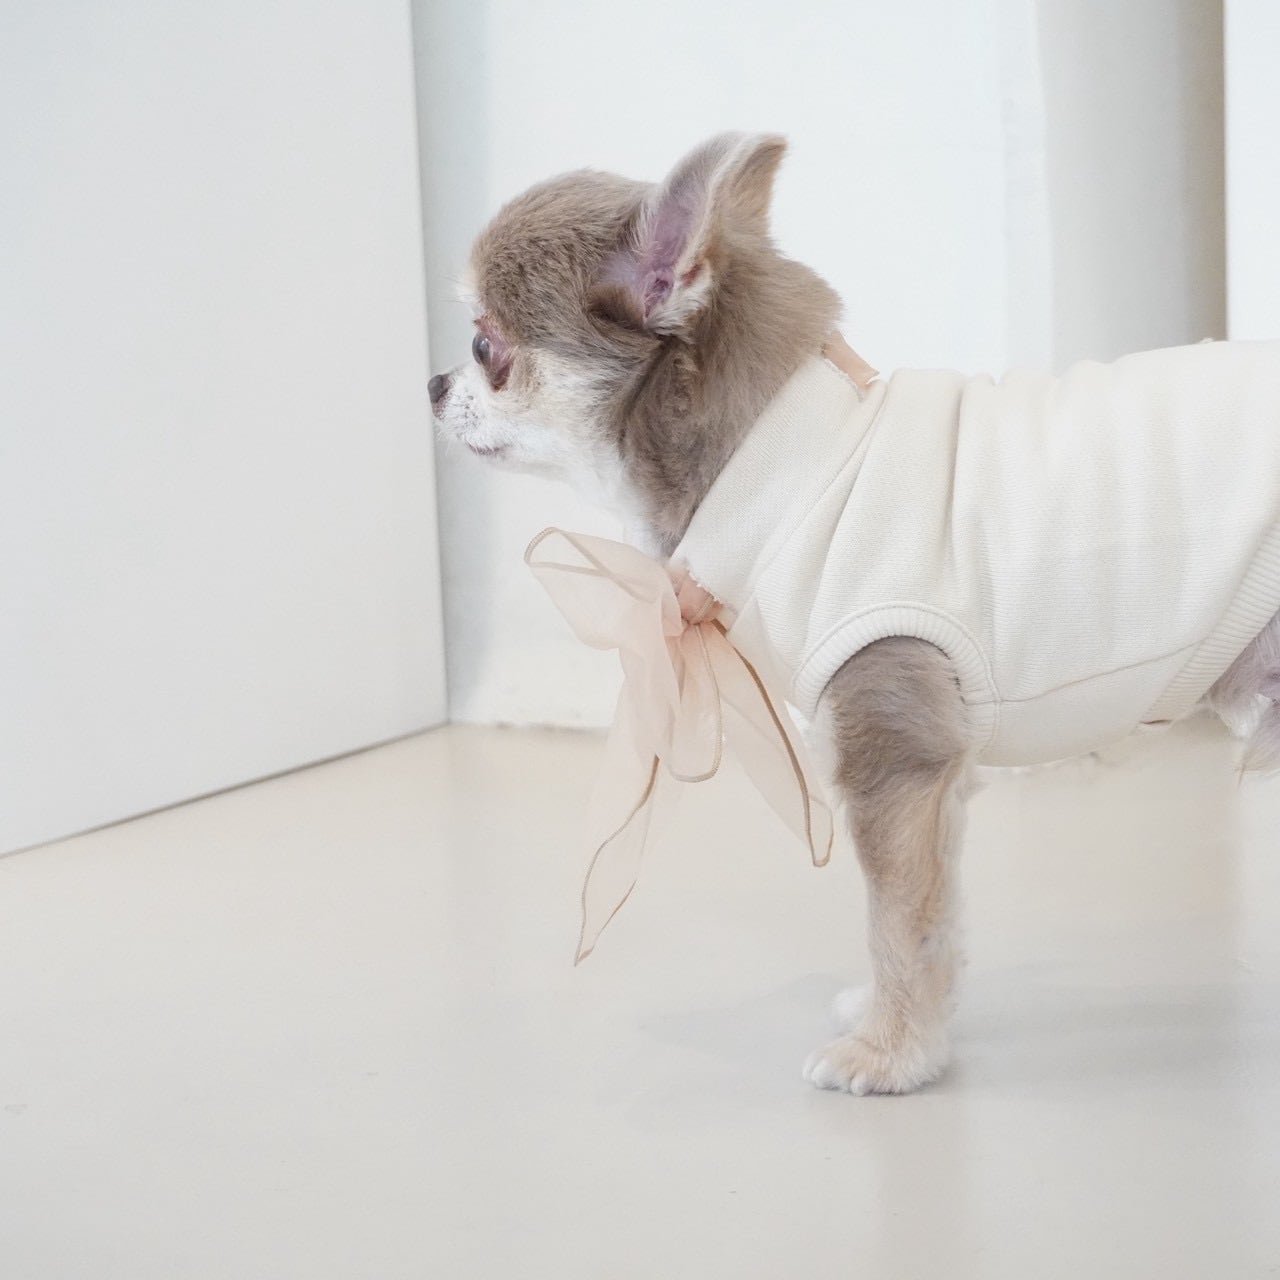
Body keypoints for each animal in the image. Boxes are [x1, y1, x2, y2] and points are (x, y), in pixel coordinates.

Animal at [430, 132, 1280, 1094]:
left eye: (485, 344)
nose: (432, 383)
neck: (781, 464)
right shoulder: (937, 776)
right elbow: (935, 920)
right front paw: (909, 1027)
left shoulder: (895, 758)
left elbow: (897, 921)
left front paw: (889, 1053)